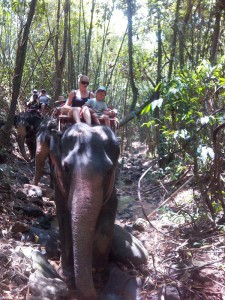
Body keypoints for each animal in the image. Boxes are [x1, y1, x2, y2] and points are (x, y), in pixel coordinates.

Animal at [33, 121, 120, 300]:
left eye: (109, 170)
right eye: (66, 167)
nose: (95, 293)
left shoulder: (112, 188)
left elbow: (106, 223)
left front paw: (99, 278)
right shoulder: (58, 181)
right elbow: (64, 216)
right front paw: (67, 277)